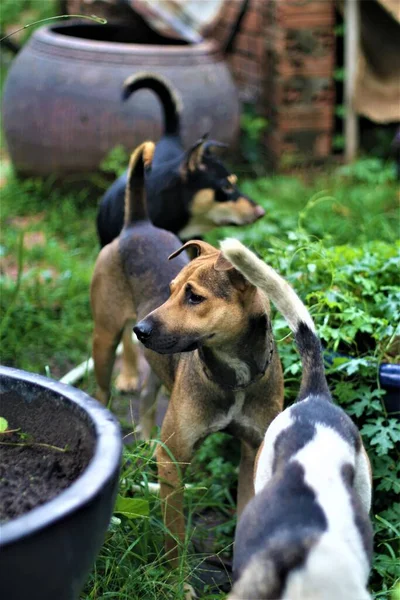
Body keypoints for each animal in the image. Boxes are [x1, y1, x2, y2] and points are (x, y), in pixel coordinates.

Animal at [90, 143, 284, 568]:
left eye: (194, 297)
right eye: (170, 289)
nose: (141, 329)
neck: (233, 377)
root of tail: (137, 223)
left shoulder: (253, 450)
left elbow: (246, 510)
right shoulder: (174, 462)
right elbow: (175, 535)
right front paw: (174, 576)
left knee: (149, 393)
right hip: (104, 339)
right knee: (102, 390)